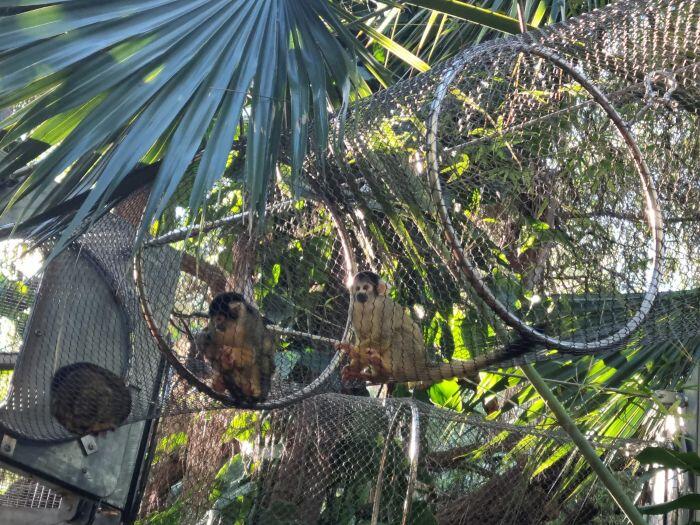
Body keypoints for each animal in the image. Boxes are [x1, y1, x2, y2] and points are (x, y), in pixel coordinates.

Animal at [338, 271, 548, 385]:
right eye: (357, 289)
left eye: (366, 288)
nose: (360, 295)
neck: (367, 306)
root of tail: (422, 365)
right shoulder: (352, 309)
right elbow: (363, 337)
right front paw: (353, 365)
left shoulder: (384, 307)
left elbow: (384, 335)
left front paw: (354, 350)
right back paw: (379, 375)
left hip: (410, 357)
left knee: (397, 334)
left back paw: (388, 369)